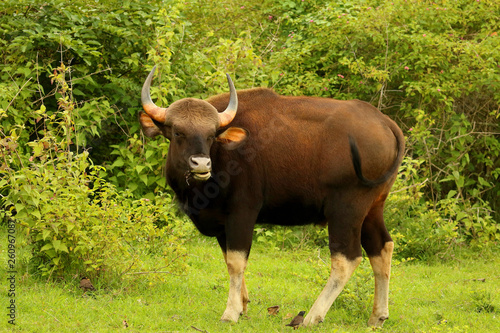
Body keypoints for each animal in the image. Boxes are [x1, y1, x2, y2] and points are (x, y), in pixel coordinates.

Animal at [139, 65, 404, 326]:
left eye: (211, 134)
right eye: (177, 132)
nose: (202, 164)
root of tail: (385, 123)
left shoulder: (242, 211)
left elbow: (236, 261)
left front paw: (231, 311)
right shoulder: (222, 222)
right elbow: (228, 258)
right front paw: (242, 305)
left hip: (346, 208)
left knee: (347, 258)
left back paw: (312, 316)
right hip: (373, 207)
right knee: (382, 247)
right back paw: (378, 315)